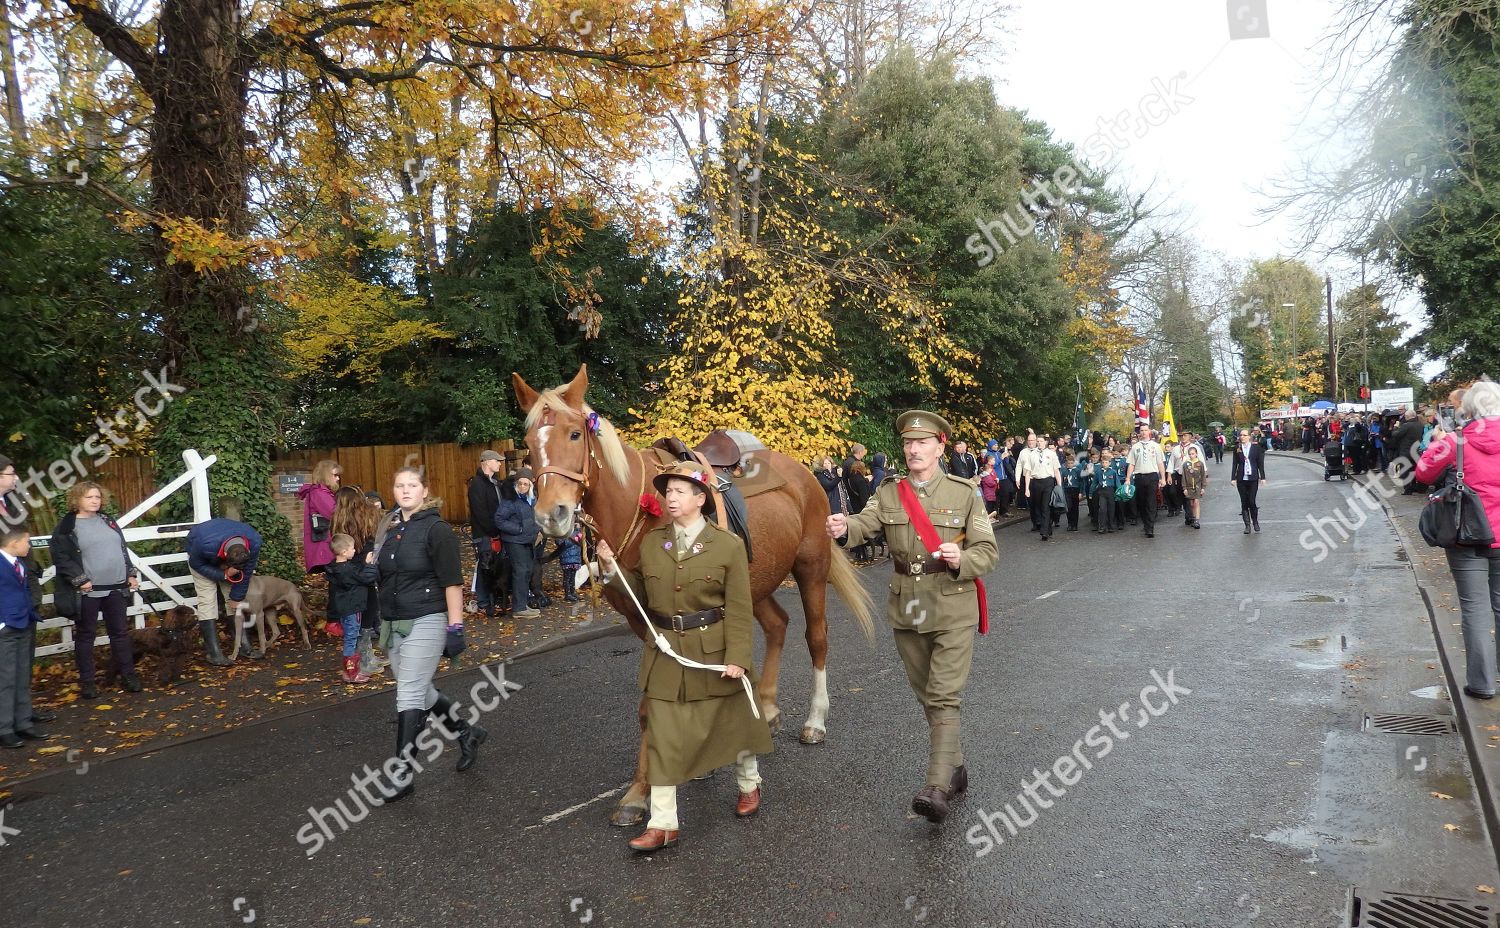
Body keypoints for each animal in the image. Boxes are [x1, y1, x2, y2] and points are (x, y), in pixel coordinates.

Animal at [513, 364, 876, 827]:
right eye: (528, 446)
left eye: (575, 434)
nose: (550, 515)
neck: (640, 508)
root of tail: (804, 474)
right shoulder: (647, 621)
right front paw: (658, 782)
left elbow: (651, 707)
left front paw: (639, 794)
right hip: (752, 584)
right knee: (778, 625)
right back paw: (768, 709)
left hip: (810, 568)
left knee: (817, 638)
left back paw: (815, 719)